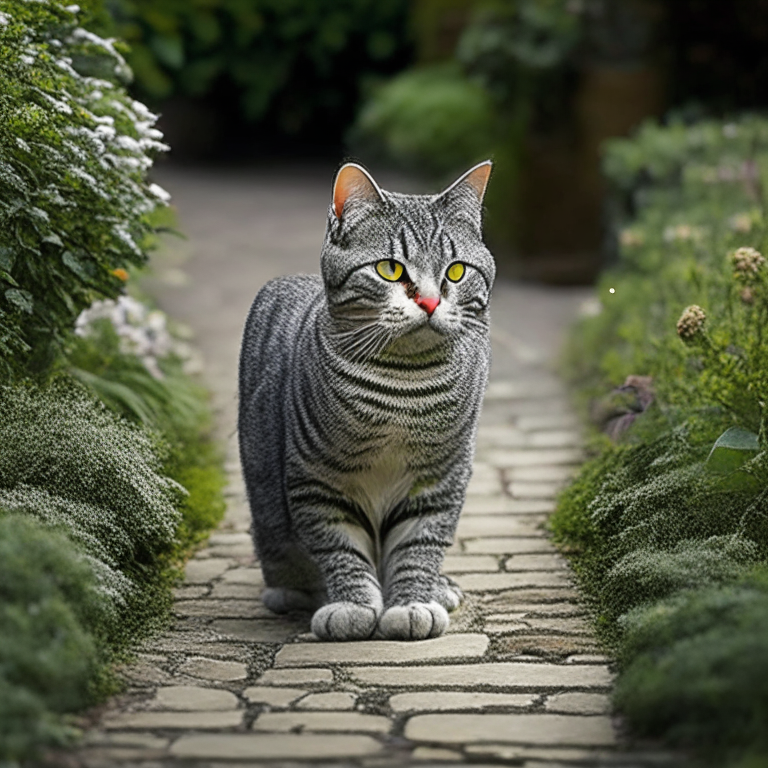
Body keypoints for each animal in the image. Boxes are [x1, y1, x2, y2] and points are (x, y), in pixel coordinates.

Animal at [237, 160, 496, 640]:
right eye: (390, 270)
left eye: (455, 272)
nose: (430, 301)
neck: (403, 387)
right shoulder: (316, 482)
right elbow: (340, 549)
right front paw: (353, 605)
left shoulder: (439, 479)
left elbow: (419, 546)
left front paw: (413, 601)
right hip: (267, 510)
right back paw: (291, 593)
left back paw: (440, 587)